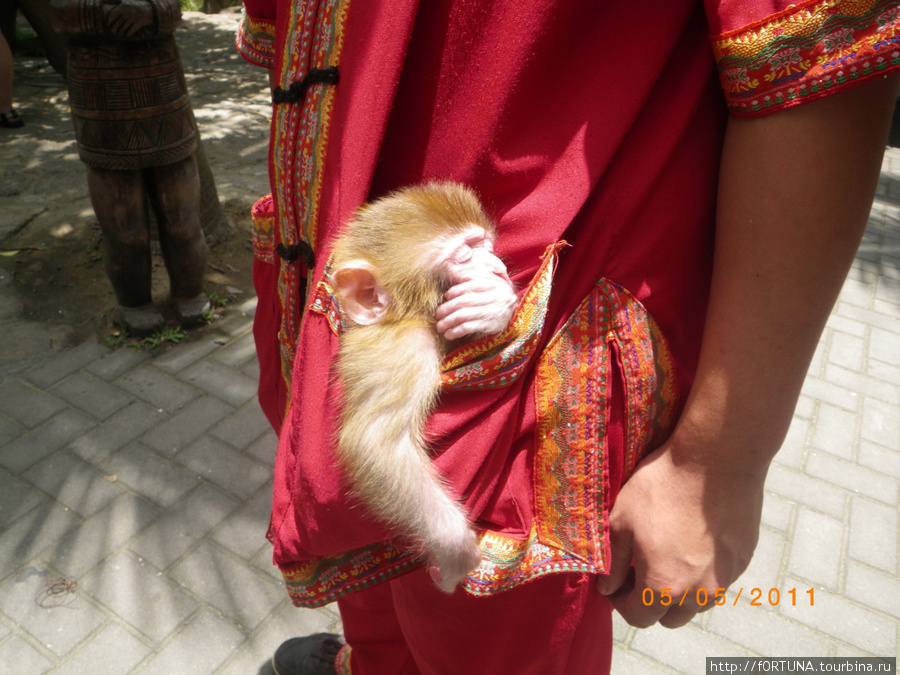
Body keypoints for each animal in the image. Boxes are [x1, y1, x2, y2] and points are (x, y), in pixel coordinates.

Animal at [330, 181, 516, 592]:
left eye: (485, 246)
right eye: (465, 255)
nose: (499, 269)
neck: (404, 315)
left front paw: (494, 304)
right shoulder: (405, 350)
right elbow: (377, 441)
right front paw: (453, 548)